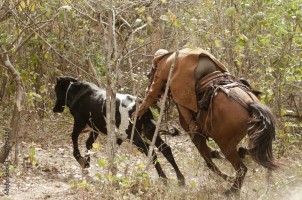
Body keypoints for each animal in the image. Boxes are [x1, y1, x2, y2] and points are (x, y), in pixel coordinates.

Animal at [53, 76, 185, 184]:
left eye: (56, 90)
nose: (54, 108)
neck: (76, 91)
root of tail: (141, 104)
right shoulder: (96, 129)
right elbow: (89, 144)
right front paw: (86, 163)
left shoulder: (79, 122)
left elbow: (74, 138)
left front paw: (80, 159)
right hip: (149, 131)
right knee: (165, 148)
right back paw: (180, 179)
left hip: (134, 136)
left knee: (151, 151)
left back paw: (164, 178)